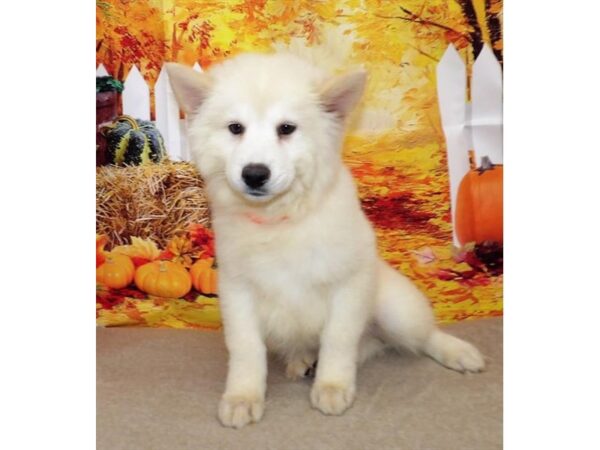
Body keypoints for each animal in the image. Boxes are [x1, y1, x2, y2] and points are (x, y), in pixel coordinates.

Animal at [166, 52, 486, 428]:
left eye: (286, 129)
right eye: (235, 128)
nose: (255, 174)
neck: (280, 220)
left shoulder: (349, 284)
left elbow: (338, 339)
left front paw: (332, 386)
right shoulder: (237, 290)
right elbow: (246, 349)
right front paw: (243, 396)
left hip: (395, 310)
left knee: (421, 336)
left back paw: (458, 352)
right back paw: (302, 360)